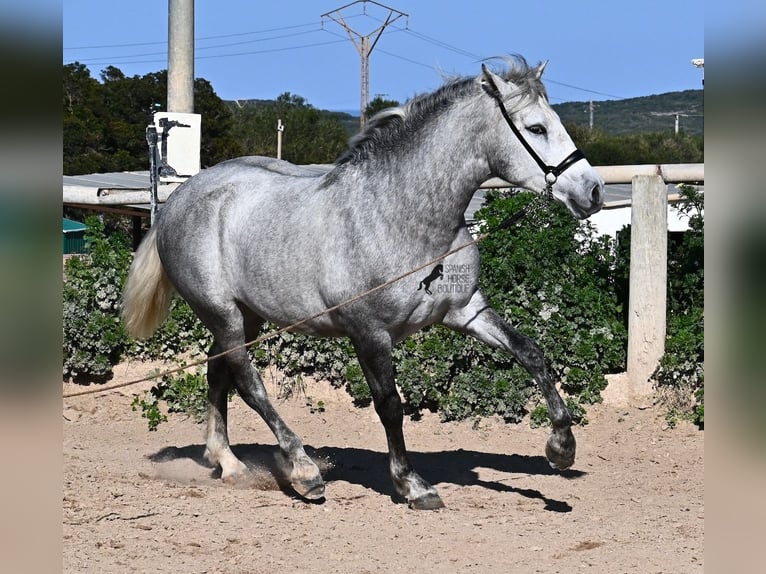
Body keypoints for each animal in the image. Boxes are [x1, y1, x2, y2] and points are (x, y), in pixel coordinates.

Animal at [123, 57, 608, 508]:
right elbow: (390, 404)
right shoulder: (369, 333)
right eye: (536, 127)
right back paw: (303, 471)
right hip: (221, 312)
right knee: (247, 381)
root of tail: (180, 200)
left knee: (217, 370)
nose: (593, 191)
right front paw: (412, 485)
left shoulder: (467, 311)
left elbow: (531, 353)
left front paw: (561, 448)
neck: (401, 217)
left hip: (249, 315)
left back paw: (227, 462)